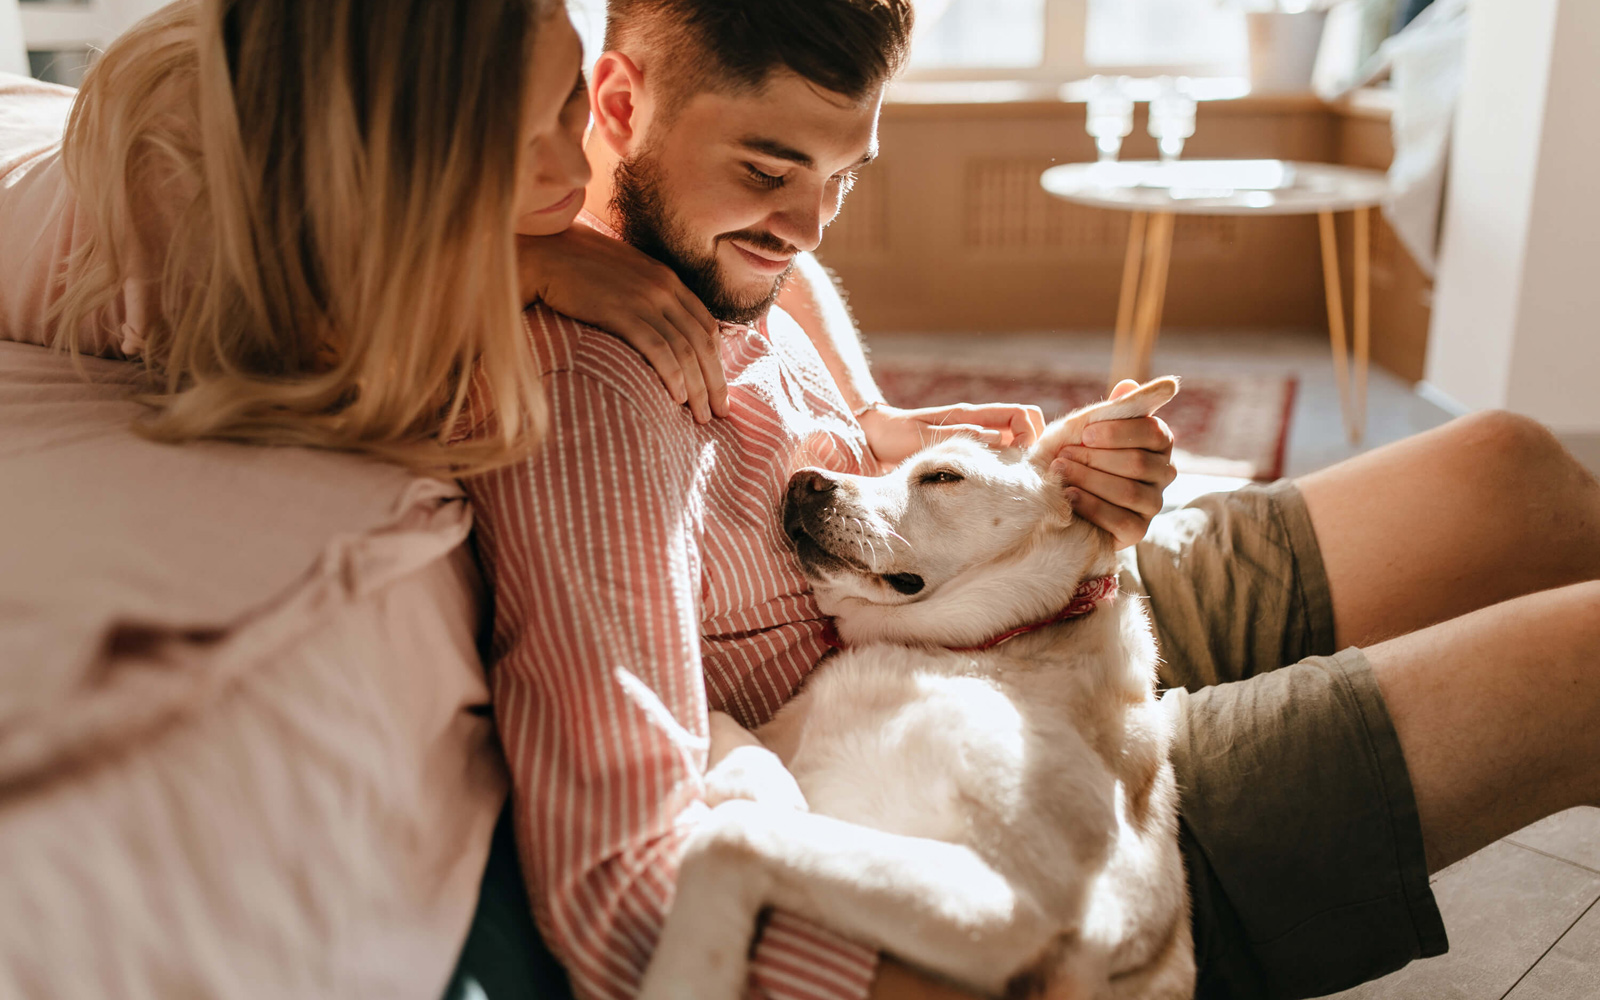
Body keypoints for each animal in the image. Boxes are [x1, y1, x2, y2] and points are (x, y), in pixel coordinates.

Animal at [643, 376, 1196, 998]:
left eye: (942, 476)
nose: (802, 480)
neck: (975, 647)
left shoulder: (1013, 901)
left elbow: (732, 836)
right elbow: (722, 724)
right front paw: (757, 781)